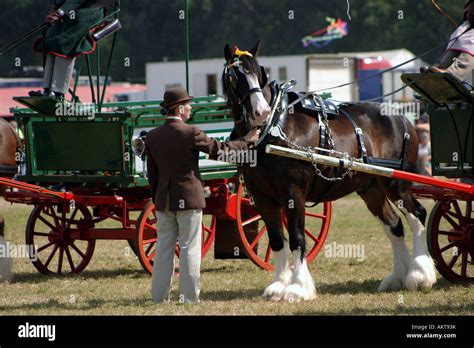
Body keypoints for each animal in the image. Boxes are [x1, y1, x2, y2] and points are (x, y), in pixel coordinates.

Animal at [224, 41, 436, 302]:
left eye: (258, 72)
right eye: (234, 76)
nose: (261, 112)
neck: (275, 127)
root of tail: (403, 117)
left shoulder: (293, 193)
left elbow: (297, 238)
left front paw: (297, 288)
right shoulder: (263, 198)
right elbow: (277, 241)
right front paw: (278, 285)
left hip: (396, 184)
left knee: (417, 215)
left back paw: (419, 275)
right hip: (371, 189)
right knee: (394, 225)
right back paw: (398, 277)